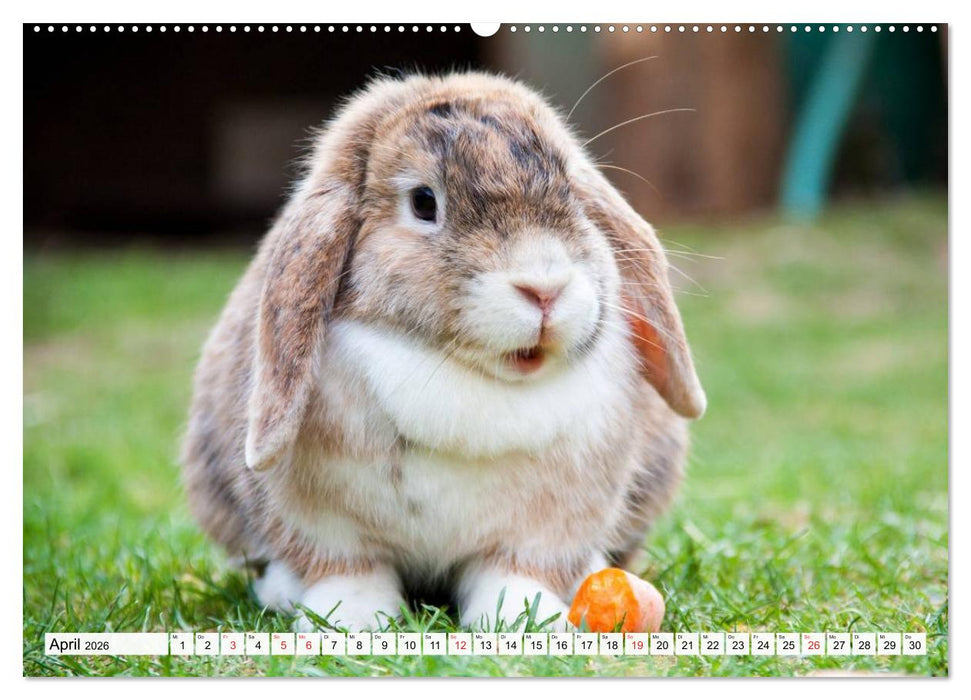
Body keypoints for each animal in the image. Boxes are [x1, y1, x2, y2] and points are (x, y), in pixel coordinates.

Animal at [181, 71, 706, 633]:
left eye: (571, 191)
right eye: (423, 202)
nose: (544, 288)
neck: (465, 374)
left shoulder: (545, 528)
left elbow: (514, 572)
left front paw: (523, 620)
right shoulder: (325, 525)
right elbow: (348, 570)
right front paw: (351, 622)